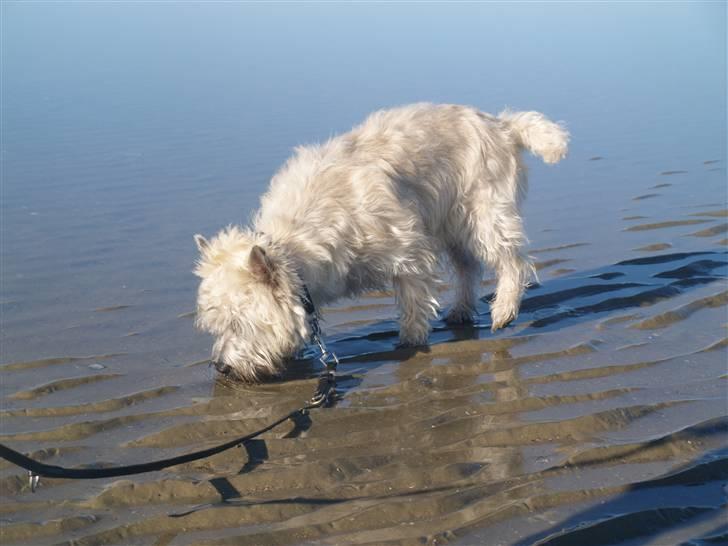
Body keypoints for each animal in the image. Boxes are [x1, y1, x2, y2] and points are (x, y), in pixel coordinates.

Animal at [193, 104, 568, 380]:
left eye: (238, 323)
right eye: (215, 326)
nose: (222, 367)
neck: (295, 246)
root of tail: (502, 125)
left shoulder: (408, 247)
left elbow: (414, 300)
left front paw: (410, 340)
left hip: (483, 213)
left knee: (512, 260)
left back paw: (503, 309)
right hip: (453, 223)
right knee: (467, 267)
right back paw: (461, 310)